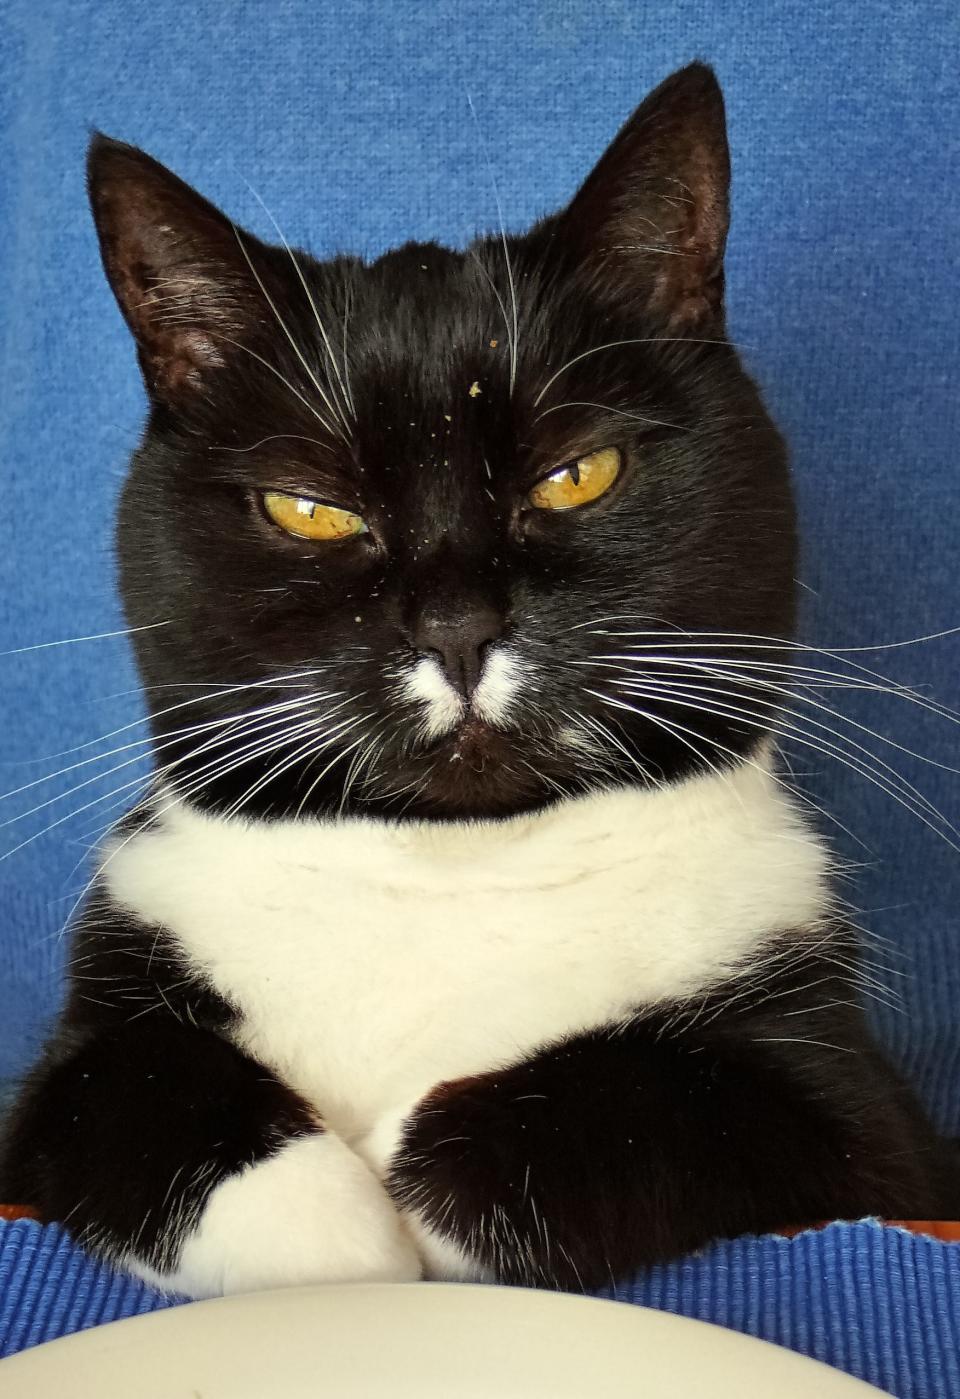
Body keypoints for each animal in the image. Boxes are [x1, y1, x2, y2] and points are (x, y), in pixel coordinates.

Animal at [0, 60, 957, 1292]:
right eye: (309, 509)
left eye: (577, 474)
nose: (457, 627)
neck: (456, 869)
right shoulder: (84, 1045)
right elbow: (114, 1083)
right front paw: (330, 1218)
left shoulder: (867, 1118)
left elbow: (695, 1101)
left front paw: (423, 1162)